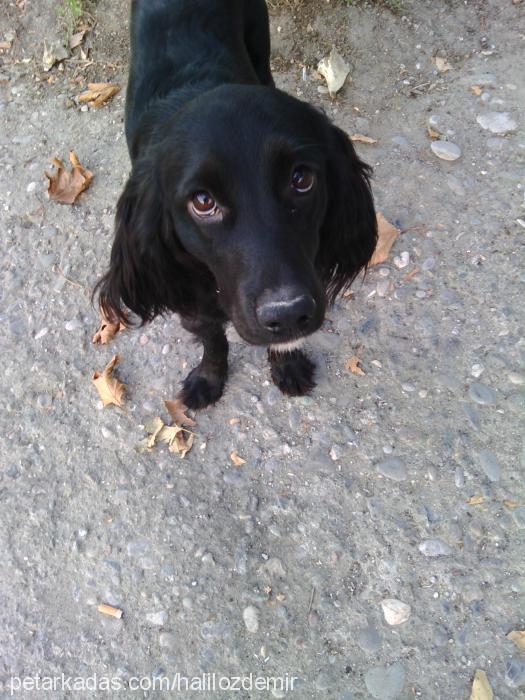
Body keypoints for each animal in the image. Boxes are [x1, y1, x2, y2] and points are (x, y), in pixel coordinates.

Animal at [96, 0, 374, 410]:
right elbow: (214, 341)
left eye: (301, 178)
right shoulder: (192, 303)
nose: (287, 313)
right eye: (203, 201)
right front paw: (208, 379)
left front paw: (287, 365)